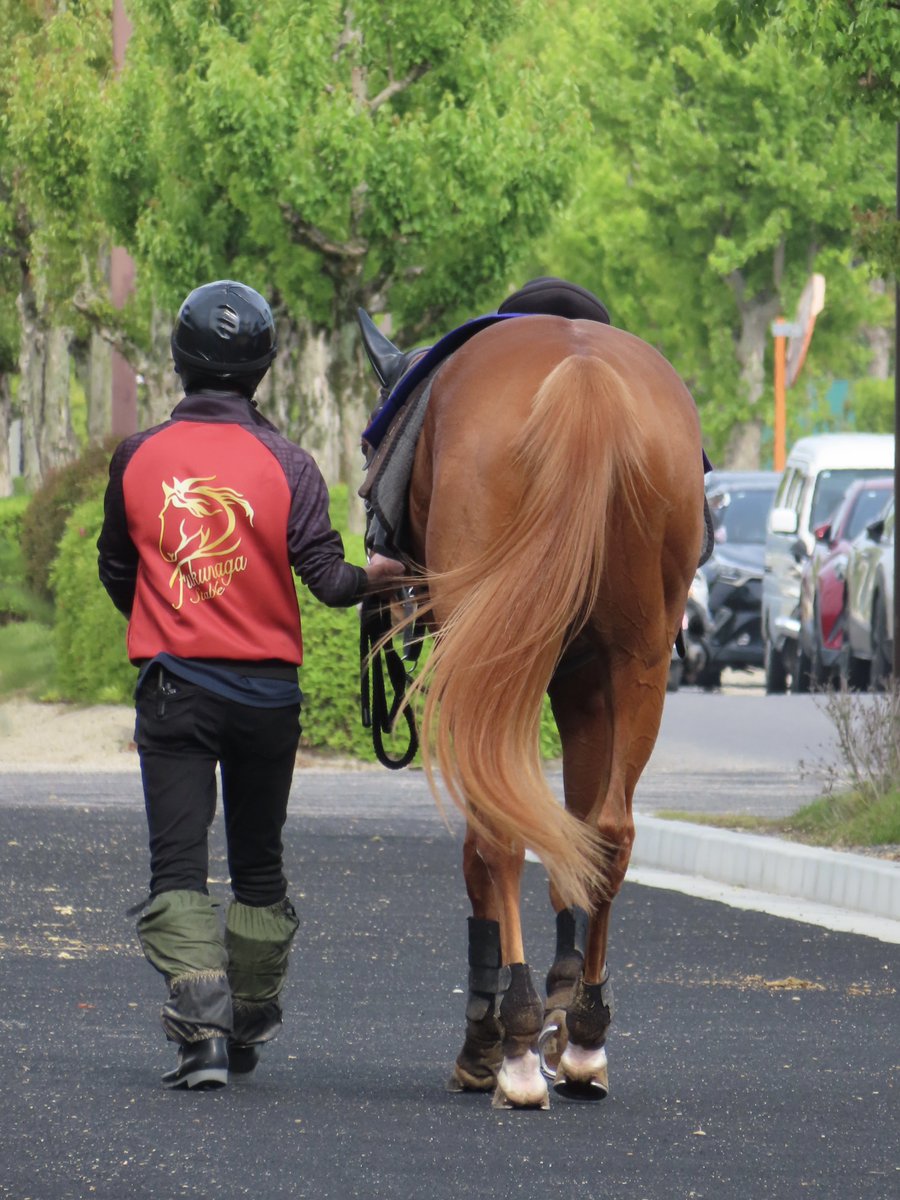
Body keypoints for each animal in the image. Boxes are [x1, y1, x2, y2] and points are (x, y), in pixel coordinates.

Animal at [361, 311, 705, 1109]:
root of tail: (584, 378)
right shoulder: (584, 687)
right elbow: (573, 835)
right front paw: (563, 1000)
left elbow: (488, 850)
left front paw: (489, 1036)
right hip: (640, 662)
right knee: (610, 832)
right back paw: (584, 1038)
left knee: (501, 834)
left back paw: (513, 1046)